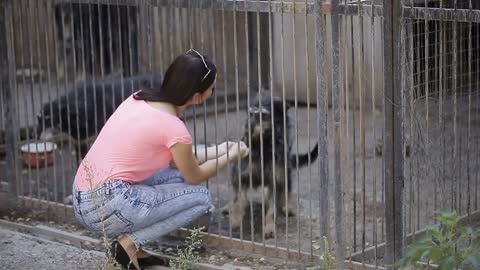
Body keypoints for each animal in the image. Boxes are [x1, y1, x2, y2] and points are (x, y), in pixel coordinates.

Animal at [225, 94, 318, 237]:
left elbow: (272, 208)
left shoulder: (275, 180)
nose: (246, 129)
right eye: (250, 114)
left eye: (263, 115)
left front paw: (269, 226)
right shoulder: (241, 175)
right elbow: (237, 200)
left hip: (286, 171)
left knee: (286, 190)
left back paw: (286, 207)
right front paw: (235, 220)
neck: (263, 145)